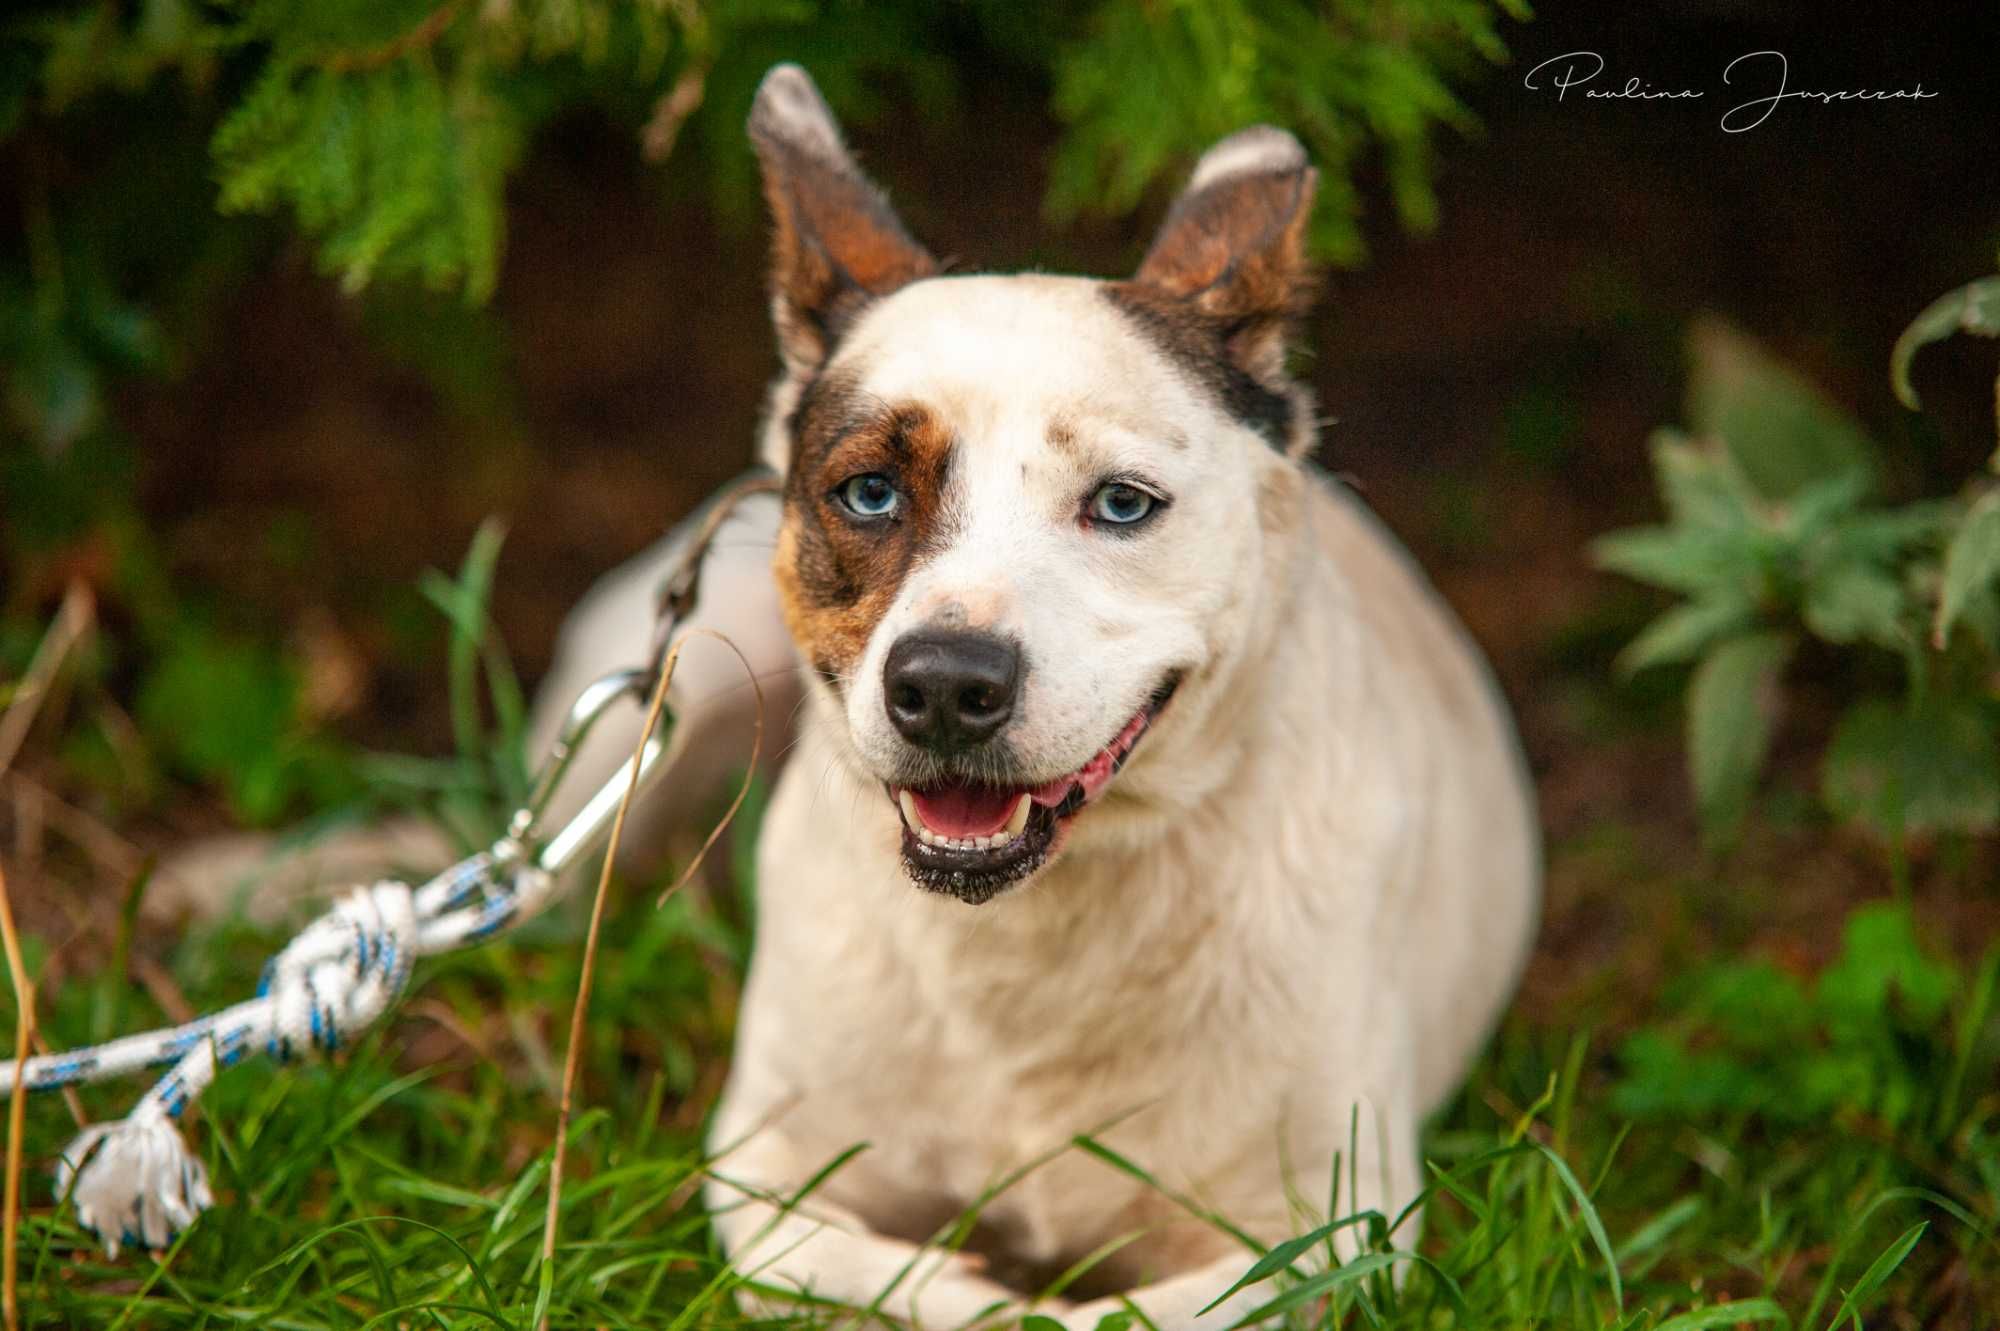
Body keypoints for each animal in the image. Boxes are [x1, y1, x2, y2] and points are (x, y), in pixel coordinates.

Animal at [532, 67, 1528, 1327]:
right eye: (867, 492)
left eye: (1121, 502)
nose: (946, 685)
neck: (1031, 935)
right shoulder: (765, 1176)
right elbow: (876, 1276)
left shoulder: (1329, 1226)